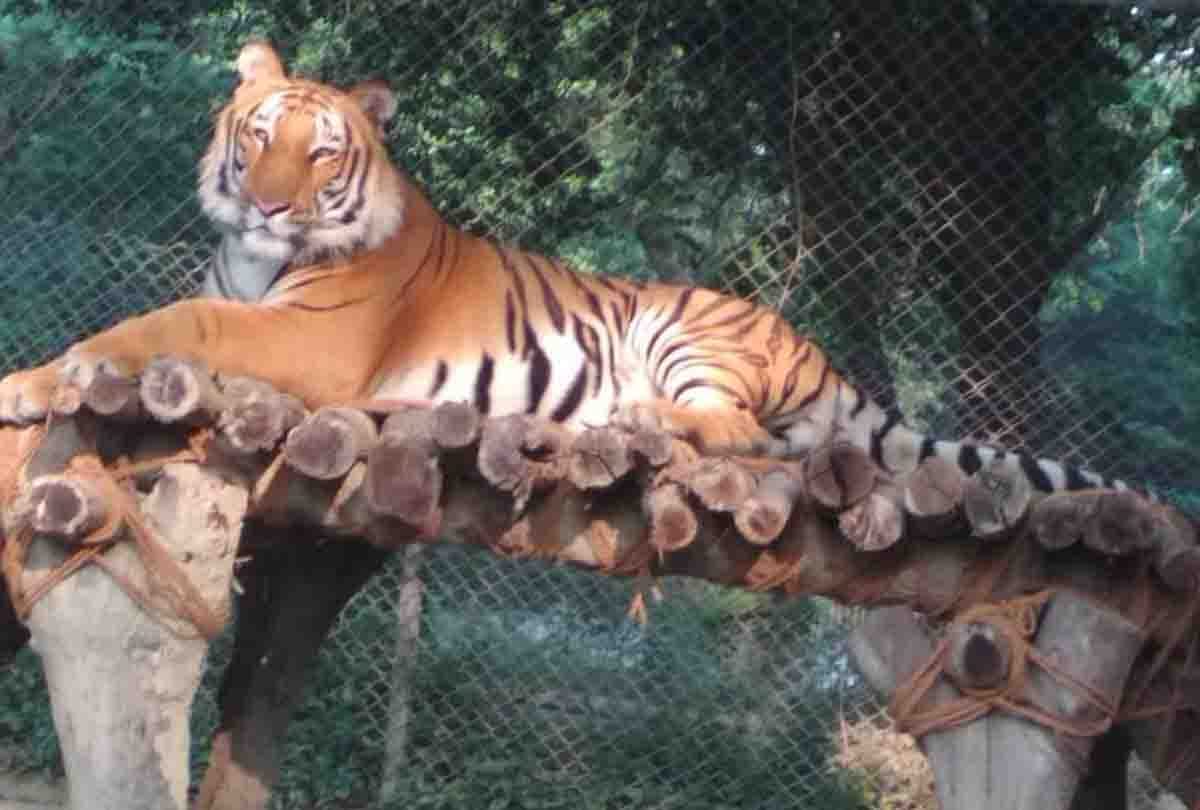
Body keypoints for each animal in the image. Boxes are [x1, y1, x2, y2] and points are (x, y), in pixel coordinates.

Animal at [0, 40, 1128, 523]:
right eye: (259, 136)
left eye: (320, 154)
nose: (273, 207)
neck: (255, 253)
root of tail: (815, 349)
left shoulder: (310, 337)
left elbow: (167, 321)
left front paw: (39, 376)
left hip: (684, 329)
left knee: (743, 433)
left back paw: (641, 425)